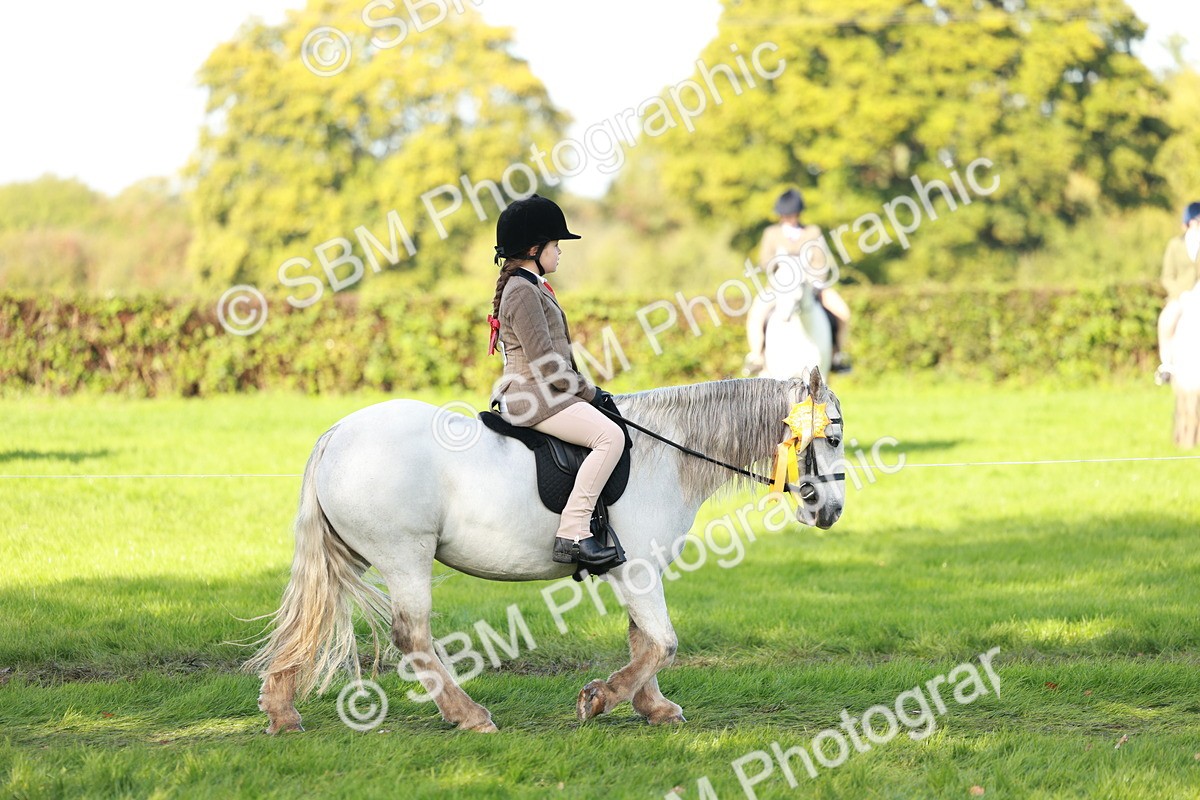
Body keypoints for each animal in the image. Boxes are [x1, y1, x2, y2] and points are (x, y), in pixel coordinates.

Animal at [248, 370, 845, 734]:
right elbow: (663, 644)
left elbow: (644, 641)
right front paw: (601, 698)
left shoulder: (636, 570)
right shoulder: (638, 570)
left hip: (352, 553)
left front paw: (651, 707)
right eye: (834, 439)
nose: (832, 511)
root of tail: (337, 432)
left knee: (308, 617)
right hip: (404, 555)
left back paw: (281, 711)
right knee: (411, 636)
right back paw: (470, 715)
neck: (668, 453)